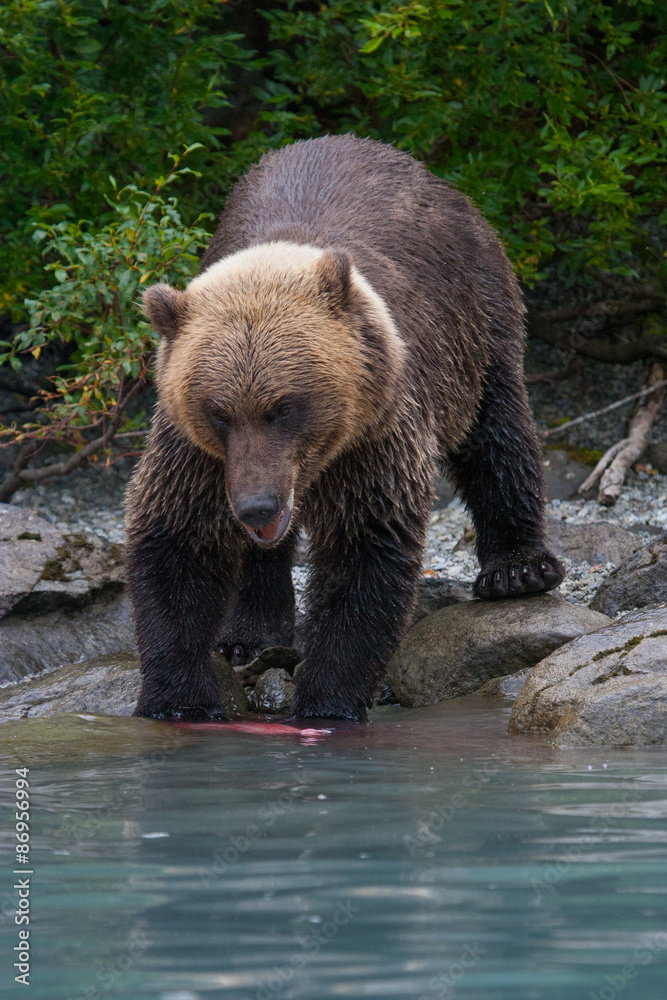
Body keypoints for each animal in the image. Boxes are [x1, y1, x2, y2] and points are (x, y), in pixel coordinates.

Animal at [126, 137, 564, 724]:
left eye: (285, 407)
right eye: (218, 411)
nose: (257, 507)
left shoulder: (374, 432)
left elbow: (364, 552)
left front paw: (327, 702)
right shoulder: (196, 453)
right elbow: (177, 543)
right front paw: (180, 700)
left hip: (474, 316)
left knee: (496, 430)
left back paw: (519, 568)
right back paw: (249, 634)